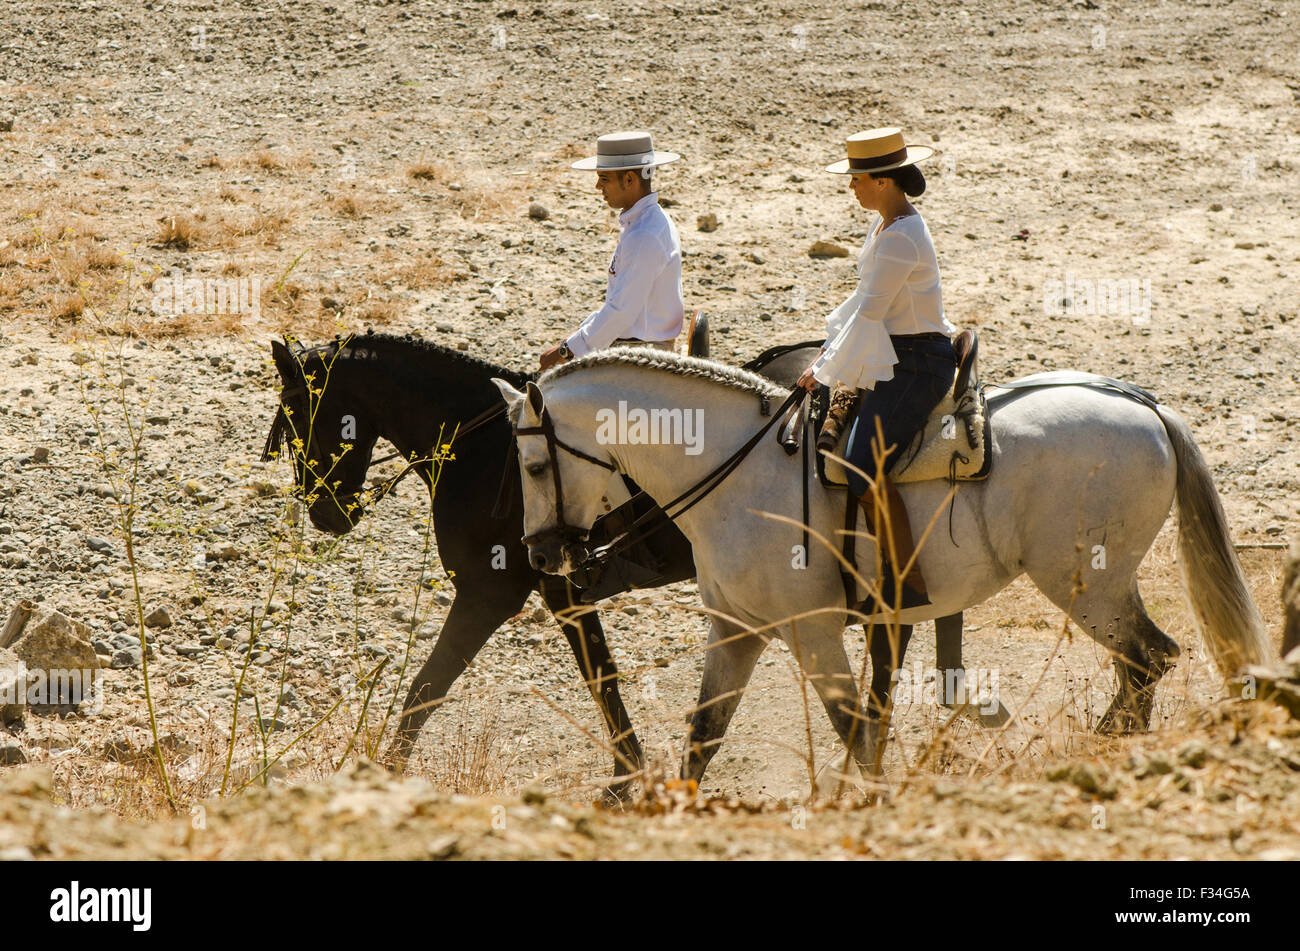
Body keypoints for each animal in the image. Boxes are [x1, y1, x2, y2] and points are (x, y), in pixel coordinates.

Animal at [263, 332, 982, 796]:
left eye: (303, 413)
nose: (326, 514)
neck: (487, 448)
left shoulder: (506, 594)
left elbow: (432, 688)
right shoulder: (556, 587)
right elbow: (593, 677)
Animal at [493, 348, 1271, 787]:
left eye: (532, 464)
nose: (541, 554)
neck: (737, 474)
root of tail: (1147, 409)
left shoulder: (812, 632)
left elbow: (853, 727)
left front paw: (860, 794)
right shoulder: (737, 629)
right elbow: (704, 734)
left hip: (1089, 587)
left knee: (1149, 657)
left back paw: (1097, 750)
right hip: (1103, 586)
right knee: (1138, 666)